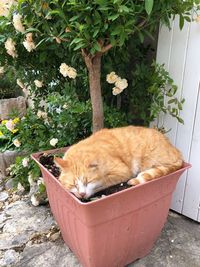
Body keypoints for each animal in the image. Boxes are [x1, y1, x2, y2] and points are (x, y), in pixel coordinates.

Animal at [54, 126, 183, 200]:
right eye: (73, 184)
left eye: (88, 181)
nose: (81, 194)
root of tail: (177, 151)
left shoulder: (123, 171)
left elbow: (104, 181)